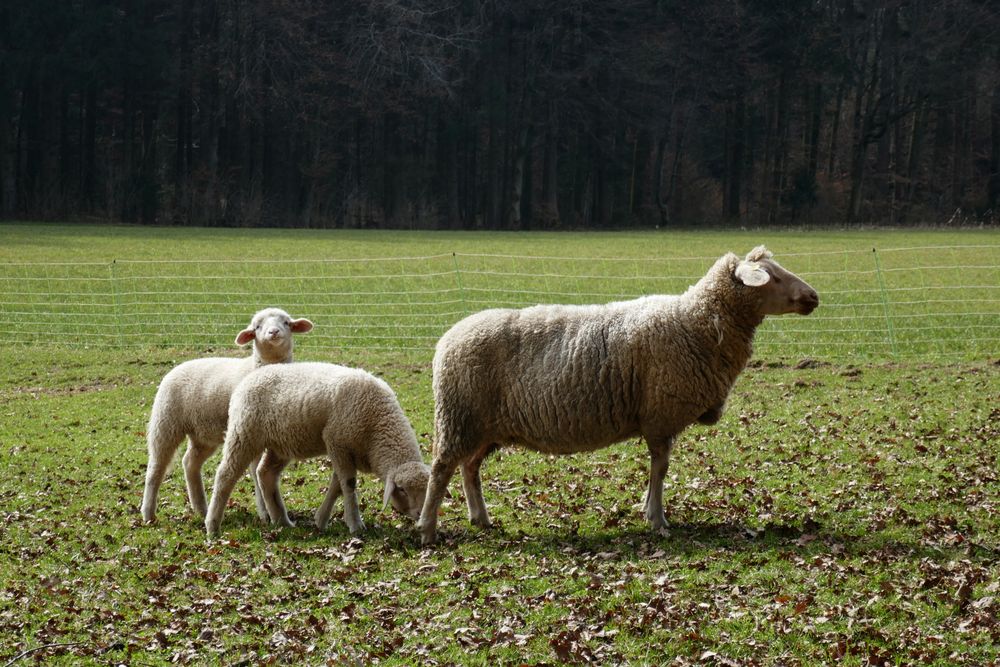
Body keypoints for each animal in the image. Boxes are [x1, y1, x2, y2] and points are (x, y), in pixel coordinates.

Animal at [140, 308, 312, 520]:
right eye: (257, 327)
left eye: (286, 323)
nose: (273, 332)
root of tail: (177, 367)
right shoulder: (250, 431)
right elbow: (255, 471)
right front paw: (265, 513)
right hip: (166, 422)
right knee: (156, 467)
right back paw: (148, 513)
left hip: (203, 434)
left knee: (190, 463)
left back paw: (201, 508)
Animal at [205, 362, 432, 540]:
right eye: (402, 489)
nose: (421, 514)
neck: (378, 426)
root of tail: (246, 380)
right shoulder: (336, 442)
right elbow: (348, 484)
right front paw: (355, 525)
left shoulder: (344, 451)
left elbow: (337, 485)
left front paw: (321, 520)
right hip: (244, 432)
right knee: (225, 475)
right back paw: (212, 526)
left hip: (280, 443)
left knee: (265, 473)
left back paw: (281, 520)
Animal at [418, 244, 816, 544]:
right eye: (773, 277)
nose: (814, 297)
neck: (696, 321)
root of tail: (447, 339)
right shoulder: (660, 416)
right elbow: (661, 467)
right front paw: (657, 518)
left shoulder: (658, 419)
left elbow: (658, 468)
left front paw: (648, 509)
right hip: (459, 416)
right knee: (441, 469)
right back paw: (428, 529)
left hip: (485, 426)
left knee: (469, 467)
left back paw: (480, 518)